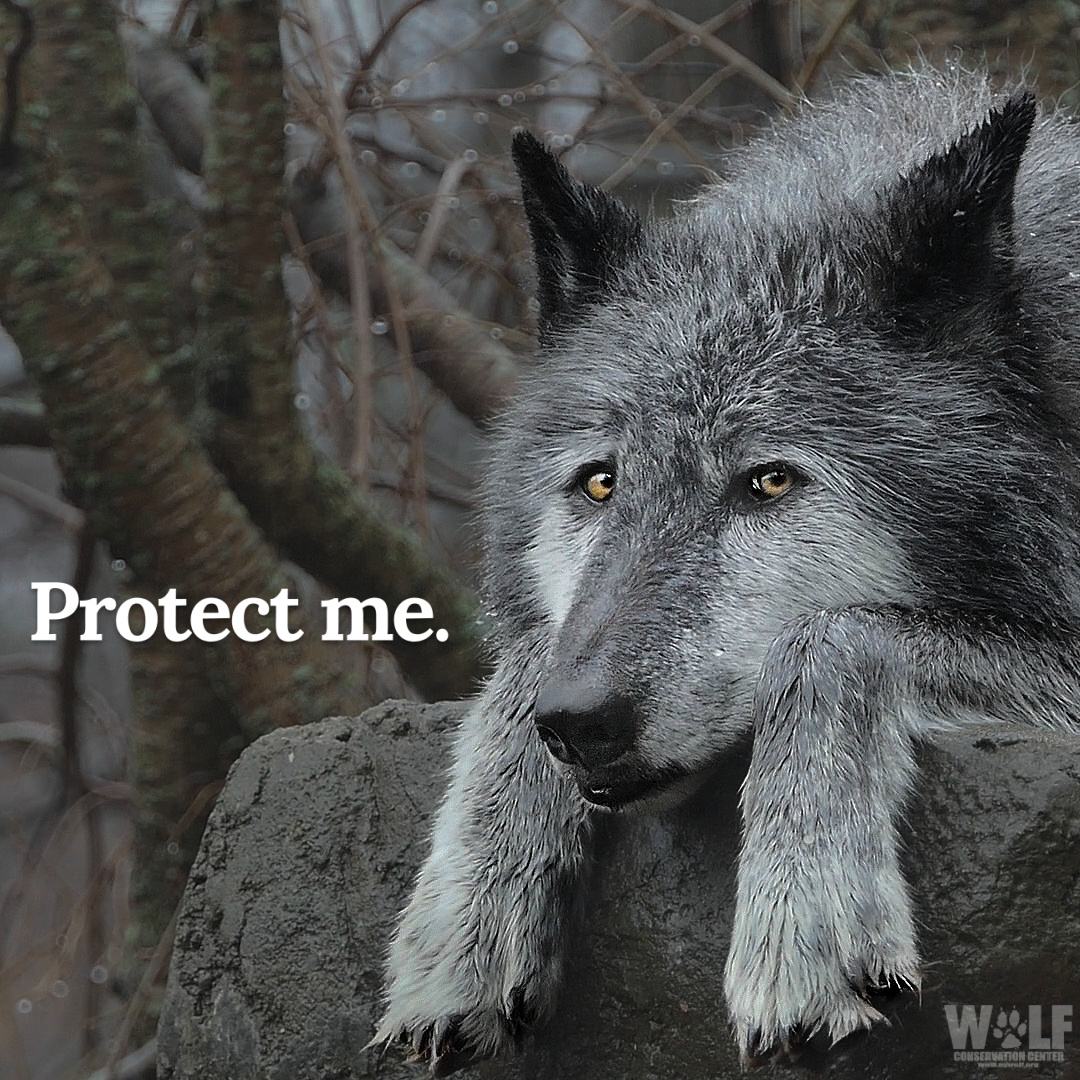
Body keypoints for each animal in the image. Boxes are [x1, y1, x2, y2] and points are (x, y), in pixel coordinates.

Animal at [373, 65, 1080, 1070]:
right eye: (600, 483)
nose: (578, 721)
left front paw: (802, 923)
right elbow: (519, 669)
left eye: (769, 481)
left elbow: (834, 638)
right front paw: (463, 917)